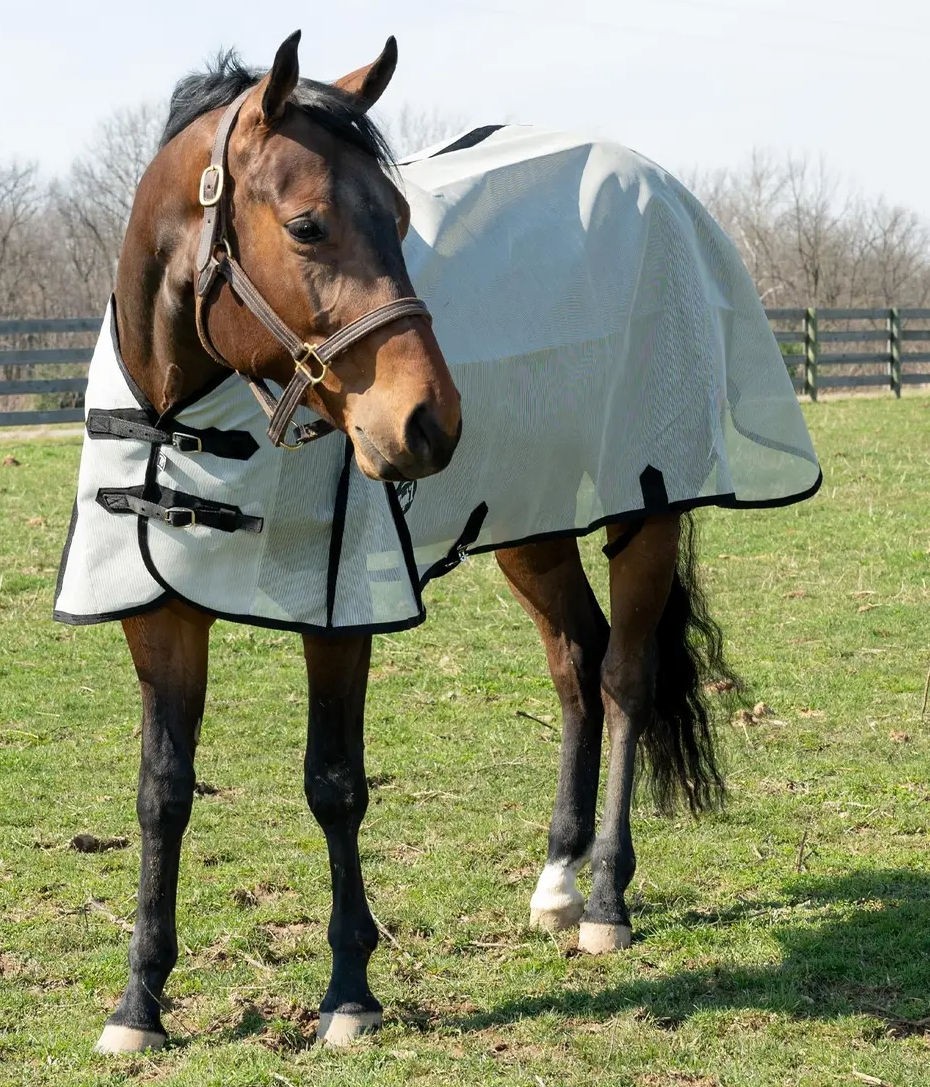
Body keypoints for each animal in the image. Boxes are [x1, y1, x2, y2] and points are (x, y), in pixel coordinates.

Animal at [56, 30, 810, 1054]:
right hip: (531, 523)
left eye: (403, 216)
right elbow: (162, 792)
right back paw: (557, 881)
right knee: (577, 661)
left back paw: (606, 899)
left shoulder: (340, 616)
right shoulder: (159, 614)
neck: (181, 412)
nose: (430, 421)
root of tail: (661, 188)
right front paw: (139, 1002)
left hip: (644, 509)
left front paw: (348, 992)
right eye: (307, 226)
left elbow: (334, 783)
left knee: (624, 678)